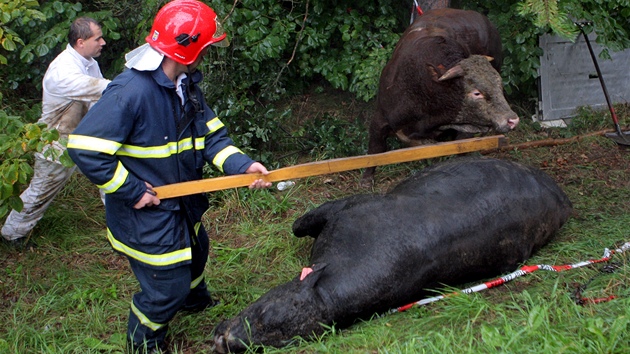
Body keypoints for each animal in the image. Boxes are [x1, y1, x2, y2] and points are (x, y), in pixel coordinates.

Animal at [215, 157, 576, 352]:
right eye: (262, 312)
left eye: (270, 329)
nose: (224, 339)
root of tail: (561, 197)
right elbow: (297, 225)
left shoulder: (347, 206)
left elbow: (298, 223)